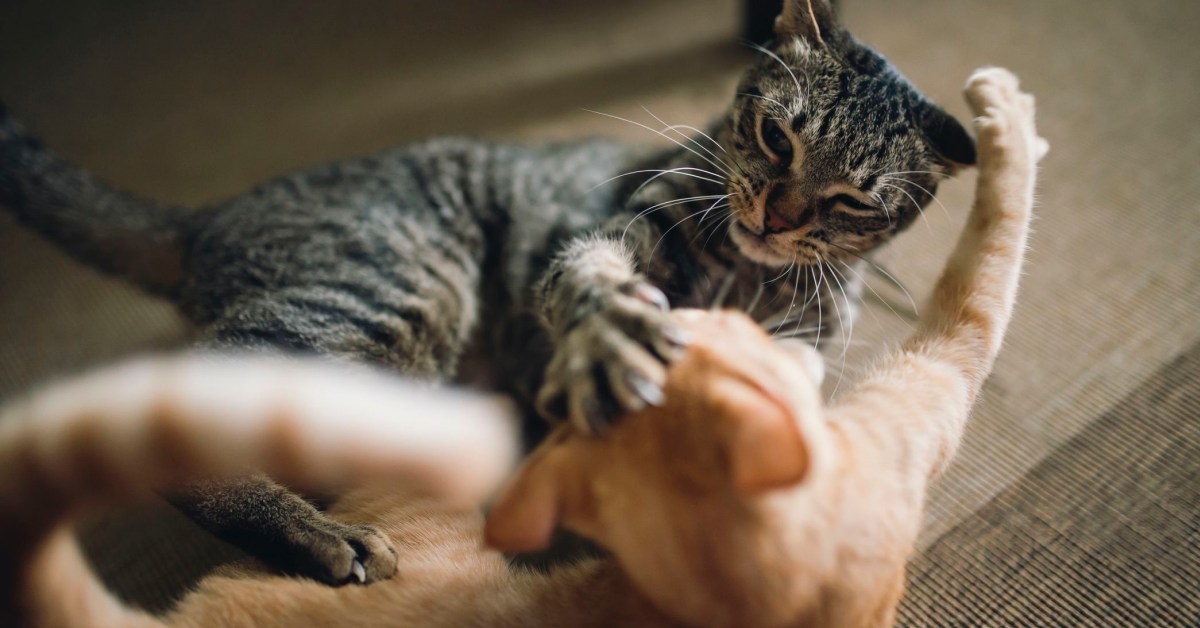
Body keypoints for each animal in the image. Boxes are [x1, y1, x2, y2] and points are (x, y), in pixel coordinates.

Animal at [2, 66, 1041, 624]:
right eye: (775, 139)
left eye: (854, 198)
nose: (780, 219)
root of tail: (205, 219)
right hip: (397, 291)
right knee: (187, 405)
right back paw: (322, 537)